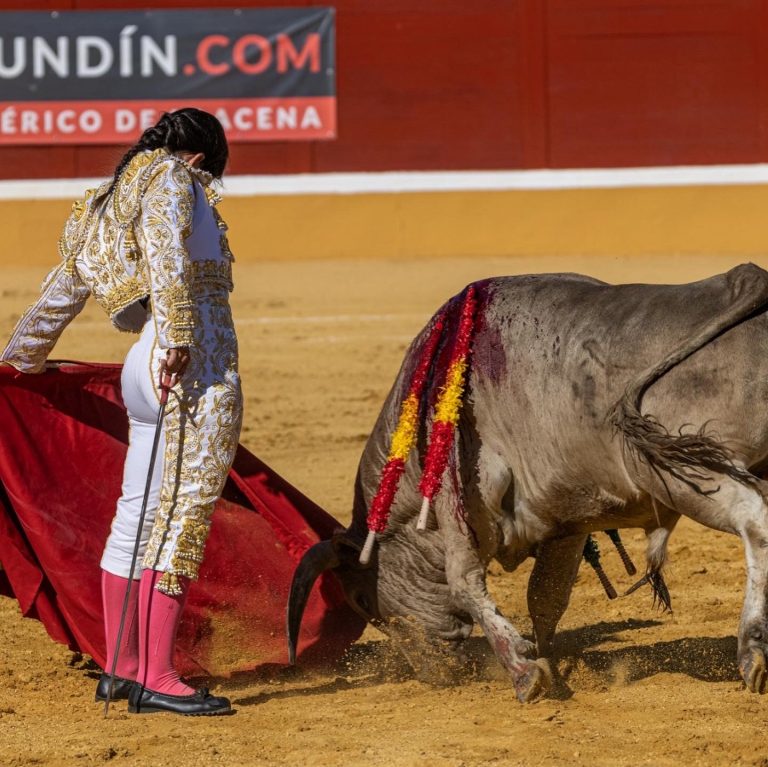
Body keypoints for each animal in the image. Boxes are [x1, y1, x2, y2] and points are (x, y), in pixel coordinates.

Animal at [288, 264, 768, 704]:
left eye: (361, 600)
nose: (434, 674)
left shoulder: (459, 502)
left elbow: (466, 581)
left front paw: (524, 673)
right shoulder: (567, 519)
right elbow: (547, 596)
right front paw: (552, 664)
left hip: (683, 477)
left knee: (754, 522)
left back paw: (752, 652)